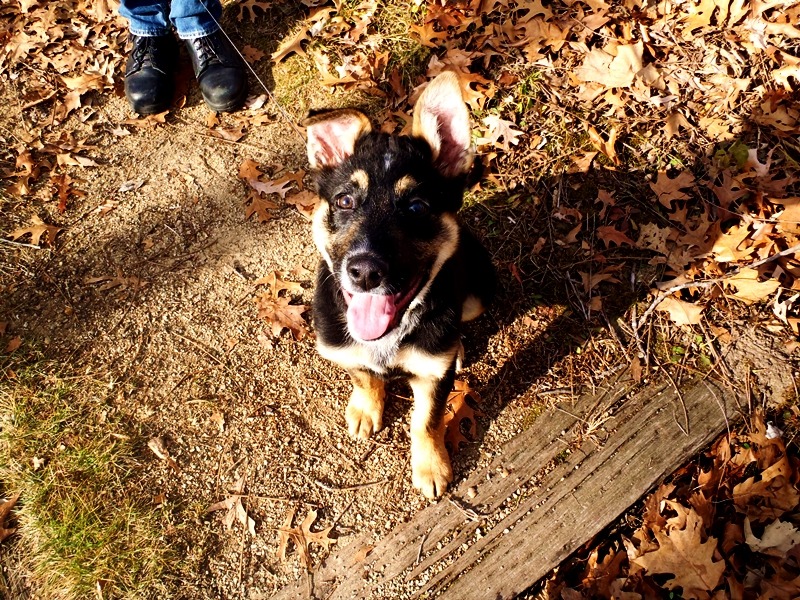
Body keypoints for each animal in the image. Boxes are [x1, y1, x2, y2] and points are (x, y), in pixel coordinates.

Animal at [304, 72, 494, 500]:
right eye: (344, 200)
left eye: (418, 207)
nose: (364, 272)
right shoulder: (342, 348)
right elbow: (363, 374)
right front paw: (366, 407)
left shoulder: (433, 378)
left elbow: (427, 419)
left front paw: (431, 466)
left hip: (475, 295)